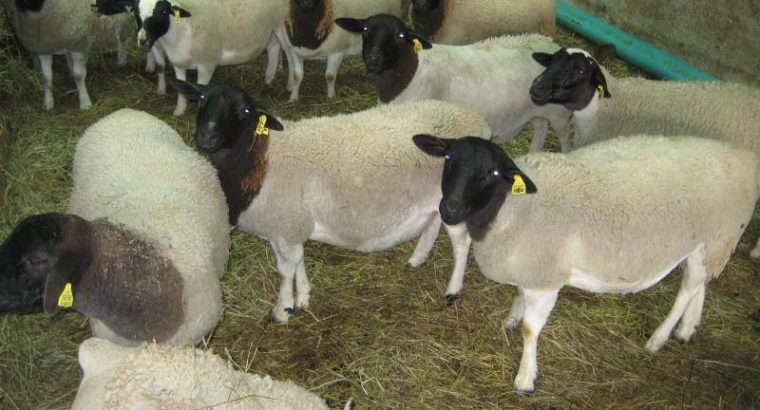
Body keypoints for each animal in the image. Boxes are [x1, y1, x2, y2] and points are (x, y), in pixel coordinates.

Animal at [137, 0, 287, 116]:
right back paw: (268, 80)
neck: (182, 27)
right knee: (274, 49)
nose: (143, 40)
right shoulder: (178, 63)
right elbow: (180, 89)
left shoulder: (206, 64)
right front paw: (179, 111)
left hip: (278, 25)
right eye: (136, 13)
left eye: (161, 12)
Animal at [171, 80, 492, 322]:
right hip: (436, 200)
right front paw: (302, 298)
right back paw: (417, 258)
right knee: (433, 223)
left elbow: (285, 269)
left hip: (457, 200)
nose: (206, 136)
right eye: (202, 99)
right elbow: (296, 261)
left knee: (462, 243)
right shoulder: (288, 227)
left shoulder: (285, 224)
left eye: (243, 111)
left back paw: (452, 290)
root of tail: (477, 119)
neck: (261, 157)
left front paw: (282, 309)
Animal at [335, 14, 573, 152]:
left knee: (564, 139)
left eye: (400, 36)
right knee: (540, 127)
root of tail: (550, 44)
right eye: (365, 30)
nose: (374, 59)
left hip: (560, 115)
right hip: (539, 108)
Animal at [414, 133, 760, 393]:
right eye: (448, 158)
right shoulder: (534, 269)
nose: (449, 210)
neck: (512, 207)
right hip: (711, 241)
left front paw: (525, 378)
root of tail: (745, 156)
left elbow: (530, 329)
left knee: (689, 286)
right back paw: (687, 328)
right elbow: (520, 298)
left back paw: (658, 339)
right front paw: (512, 316)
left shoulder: (546, 277)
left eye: (493, 173)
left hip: (719, 233)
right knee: (701, 280)